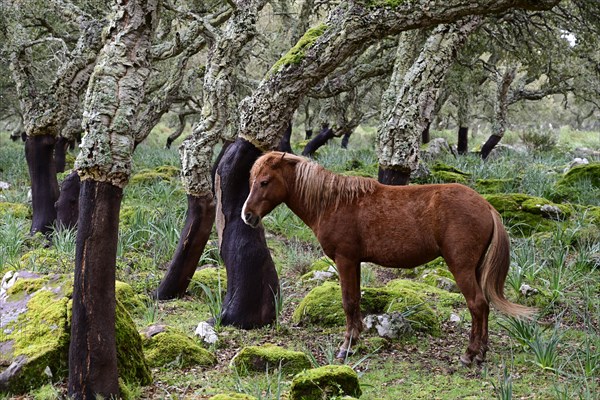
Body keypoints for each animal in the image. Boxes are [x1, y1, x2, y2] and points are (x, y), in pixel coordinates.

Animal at [240, 151, 536, 366]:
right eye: (252, 181)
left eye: (264, 182)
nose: (248, 215)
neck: (334, 202)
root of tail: (487, 206)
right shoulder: (355, 262)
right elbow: (356, 301)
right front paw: (356, 339)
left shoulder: (345, 260)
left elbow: (348, 302)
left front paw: (346, 347)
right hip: (473, 268)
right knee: (483, 306)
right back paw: (481, 352)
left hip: (461, 267)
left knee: (477, 304)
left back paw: (470, 354)